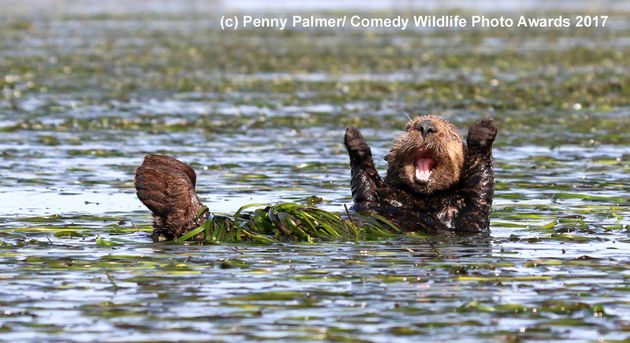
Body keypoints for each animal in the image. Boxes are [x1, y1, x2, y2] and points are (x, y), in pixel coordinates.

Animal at [135, 115, 498, 239]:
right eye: (410, 126)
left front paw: (483, 131)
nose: (425, 127)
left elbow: (479, 184)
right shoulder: (375, 198)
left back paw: (158, 180)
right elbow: (365, 182)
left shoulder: (465, 216)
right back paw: (160, 175)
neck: (416, 199)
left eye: (450, 131)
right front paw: (355, 138)